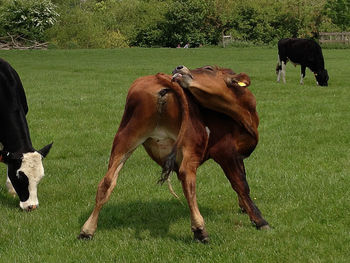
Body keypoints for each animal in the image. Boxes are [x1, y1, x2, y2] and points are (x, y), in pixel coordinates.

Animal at [80, 65, 270, 243]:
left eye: (208, 68)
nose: (179, 67)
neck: (245, 114)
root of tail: (158, 78)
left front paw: (244, 207)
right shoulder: (226, 151)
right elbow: (241, 184)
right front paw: (259, 220)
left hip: (125, 137)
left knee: (107, 181)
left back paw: (87, 230)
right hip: (191, 143)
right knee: (188, 177)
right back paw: (200, 230)